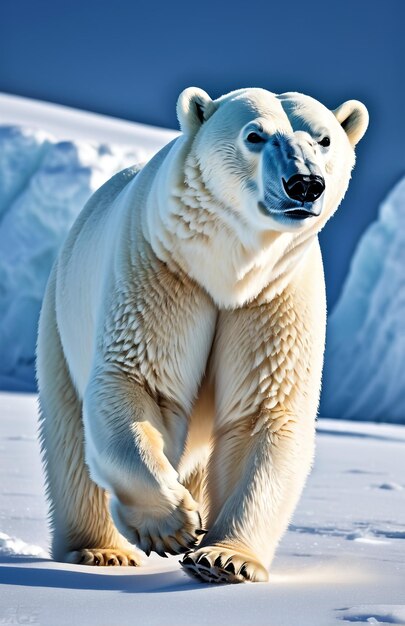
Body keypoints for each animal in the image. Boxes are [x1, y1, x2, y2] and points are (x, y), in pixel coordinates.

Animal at [36, 85, 368, 584]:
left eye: (324, 139)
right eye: (255, 135)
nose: (305, 184)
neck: (229, 268)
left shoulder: (274, 294)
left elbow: (263, 410)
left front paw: (225, 560)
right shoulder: (163, 270)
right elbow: (140, 385)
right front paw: (173, 527)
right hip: (60, 320)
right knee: (70, 440)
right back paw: (101, 550)